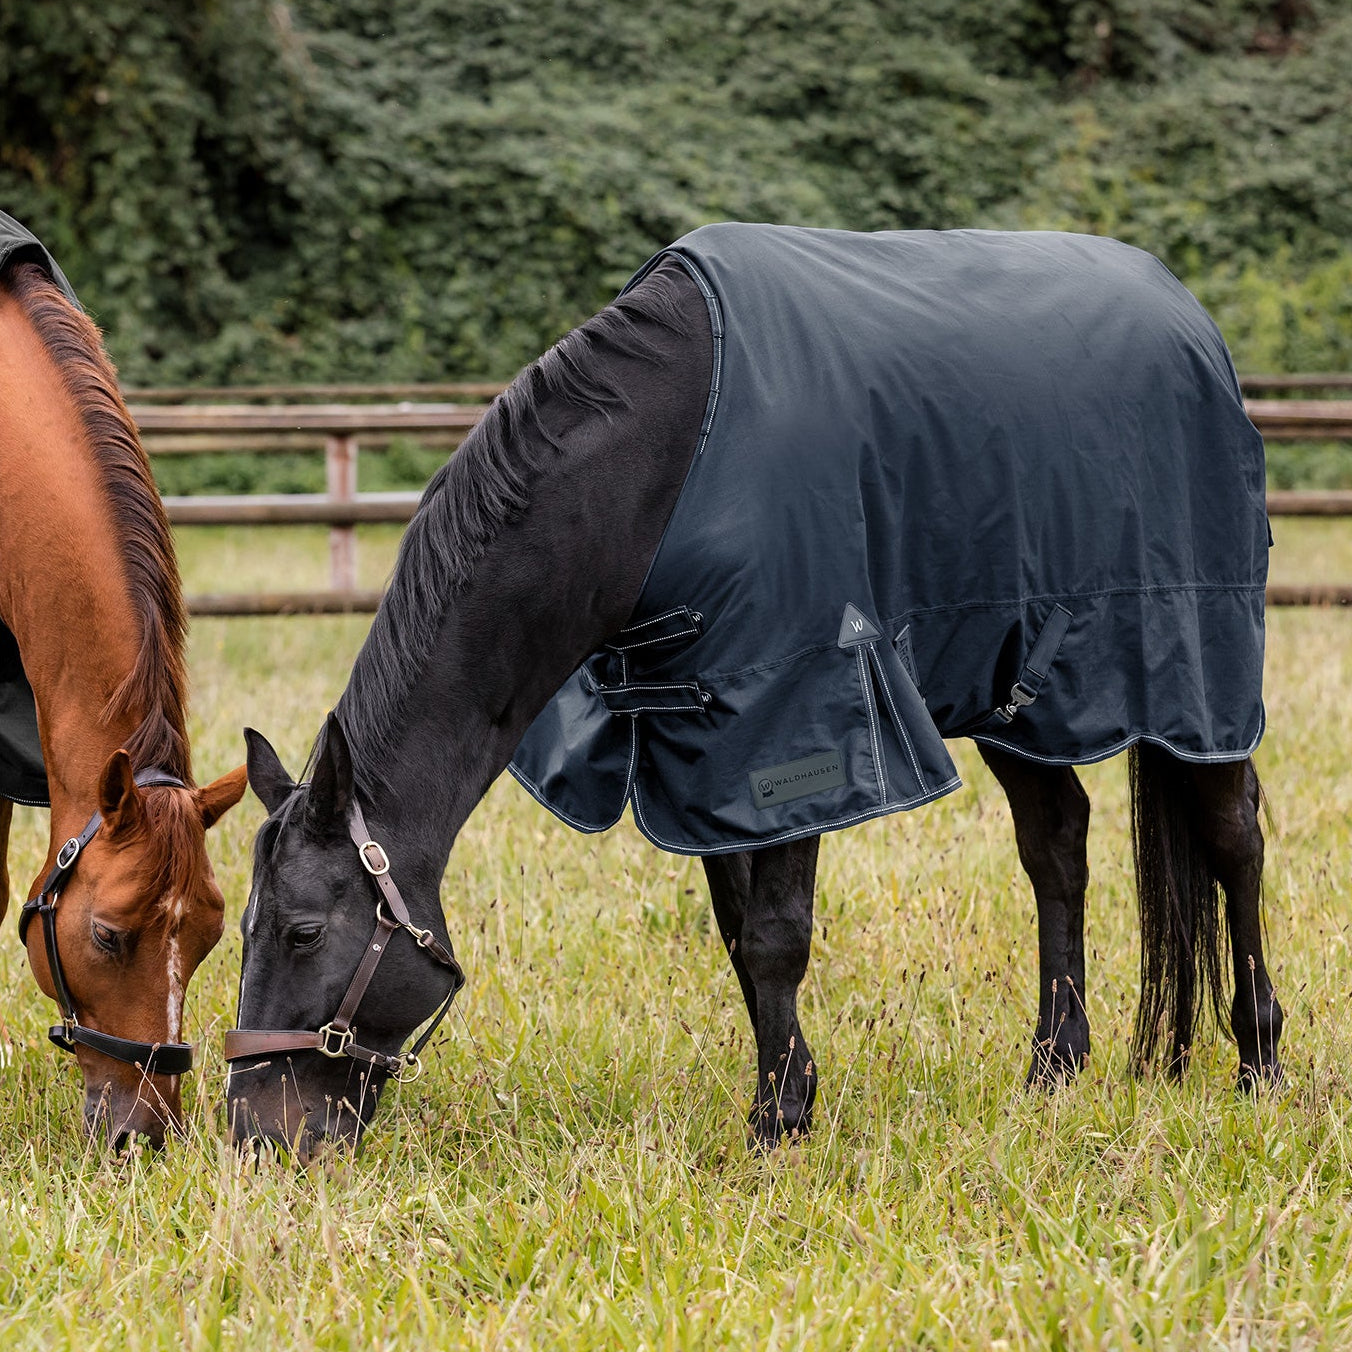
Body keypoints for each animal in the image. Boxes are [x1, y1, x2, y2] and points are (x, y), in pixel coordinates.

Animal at [225, 225, 1282, 1161]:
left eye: (303, 930)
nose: (256, 1140)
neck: (663, 461)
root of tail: (1191, 319)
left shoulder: (798, 715)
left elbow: (776, 936)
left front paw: (776, 1129)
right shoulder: (702, 743)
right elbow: (741, 940)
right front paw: (792, 1097)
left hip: (1199, 670)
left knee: (1233, 838)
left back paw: (1259, 1060)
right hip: (1020, 696)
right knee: (1056, 847)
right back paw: (1054, 1069)